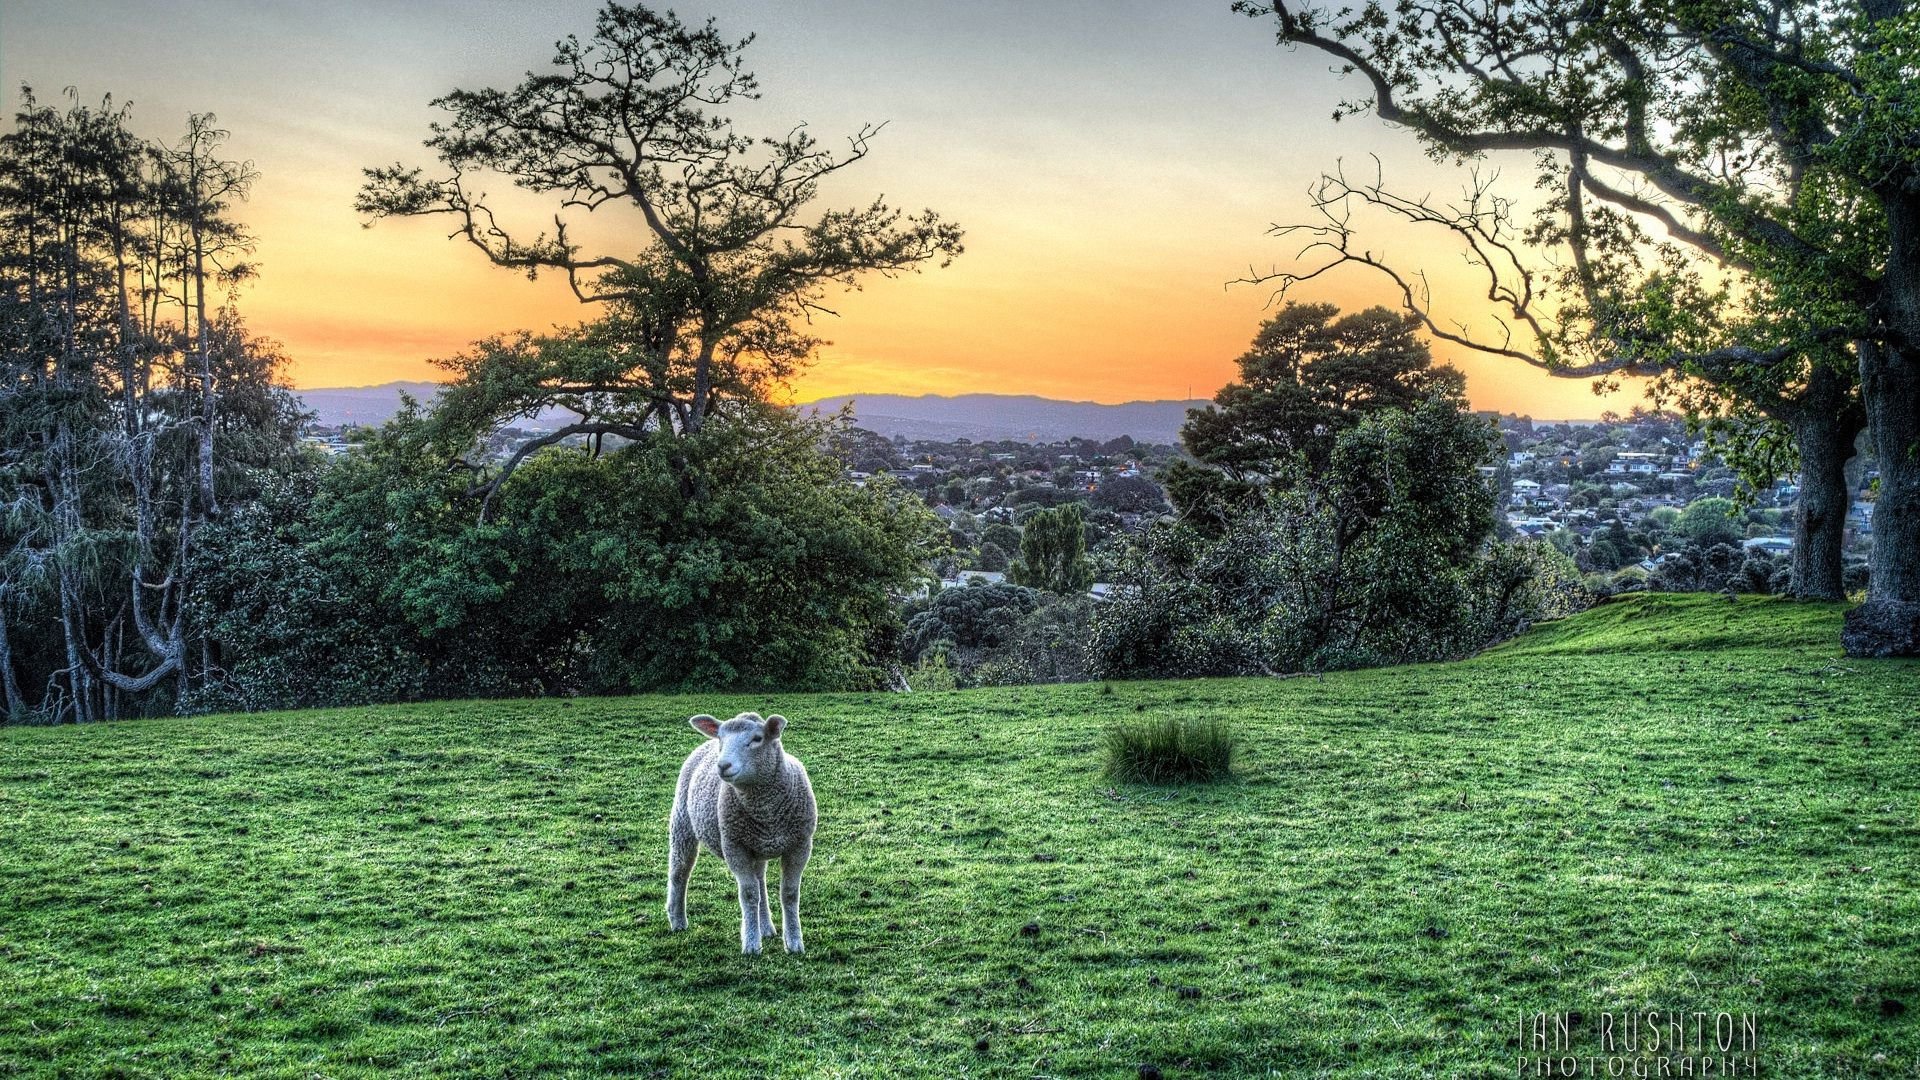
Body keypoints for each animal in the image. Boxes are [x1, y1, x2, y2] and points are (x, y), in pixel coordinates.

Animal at [664, 714, 814, 949]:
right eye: (721, 737)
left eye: (757, 738)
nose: (723, 765)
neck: (766, 811)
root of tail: (704, 745)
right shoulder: (735, 847)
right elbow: (749, 894)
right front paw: (751, 943)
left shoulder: (800, 845)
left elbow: (789, 894)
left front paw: (794, 942)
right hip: (682, 822)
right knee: (679, 871)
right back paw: (677, 920)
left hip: (756, 846)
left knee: (760, 880)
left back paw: (766, 928)